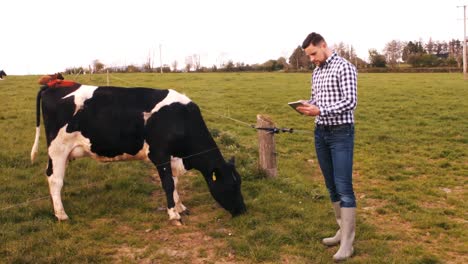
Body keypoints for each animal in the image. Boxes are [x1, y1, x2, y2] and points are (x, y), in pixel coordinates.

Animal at [31, 80, 247, 223]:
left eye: (239, 183)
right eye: (231, 185)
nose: (243, 210)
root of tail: (53, 85)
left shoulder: (172, 157)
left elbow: (175, 182)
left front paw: (180, 206)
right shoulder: (160, 154)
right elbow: (168, 184)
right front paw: (173, 214)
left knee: (52, 177)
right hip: (58, 149)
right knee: (55, 179)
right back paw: (62, 215)